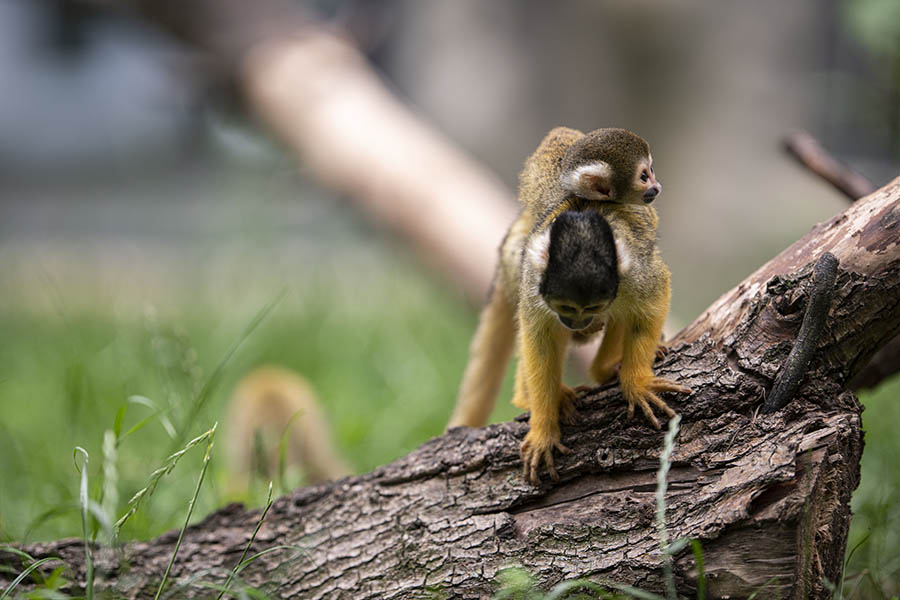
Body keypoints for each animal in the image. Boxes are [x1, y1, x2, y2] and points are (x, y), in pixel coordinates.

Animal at [448, 125, 688, 482]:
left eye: (591, 309)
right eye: (566, 310)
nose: (579, 324)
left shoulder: (635, 271)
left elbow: (653, 301)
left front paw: (636, 382)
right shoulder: (535, 282)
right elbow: (539, 340)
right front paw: (544, 429)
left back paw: (607, 367)